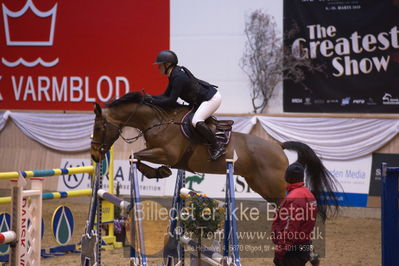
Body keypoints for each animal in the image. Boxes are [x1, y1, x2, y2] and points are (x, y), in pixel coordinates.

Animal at [91, 91, 340, 220]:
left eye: (100, 127)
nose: (94, 156)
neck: (158, 121)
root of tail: (278, 146)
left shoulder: (166, 154)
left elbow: (136, 155)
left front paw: (156, 172)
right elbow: (138, 157)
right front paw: (159, 172)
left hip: (273, 184)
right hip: (261, 185)